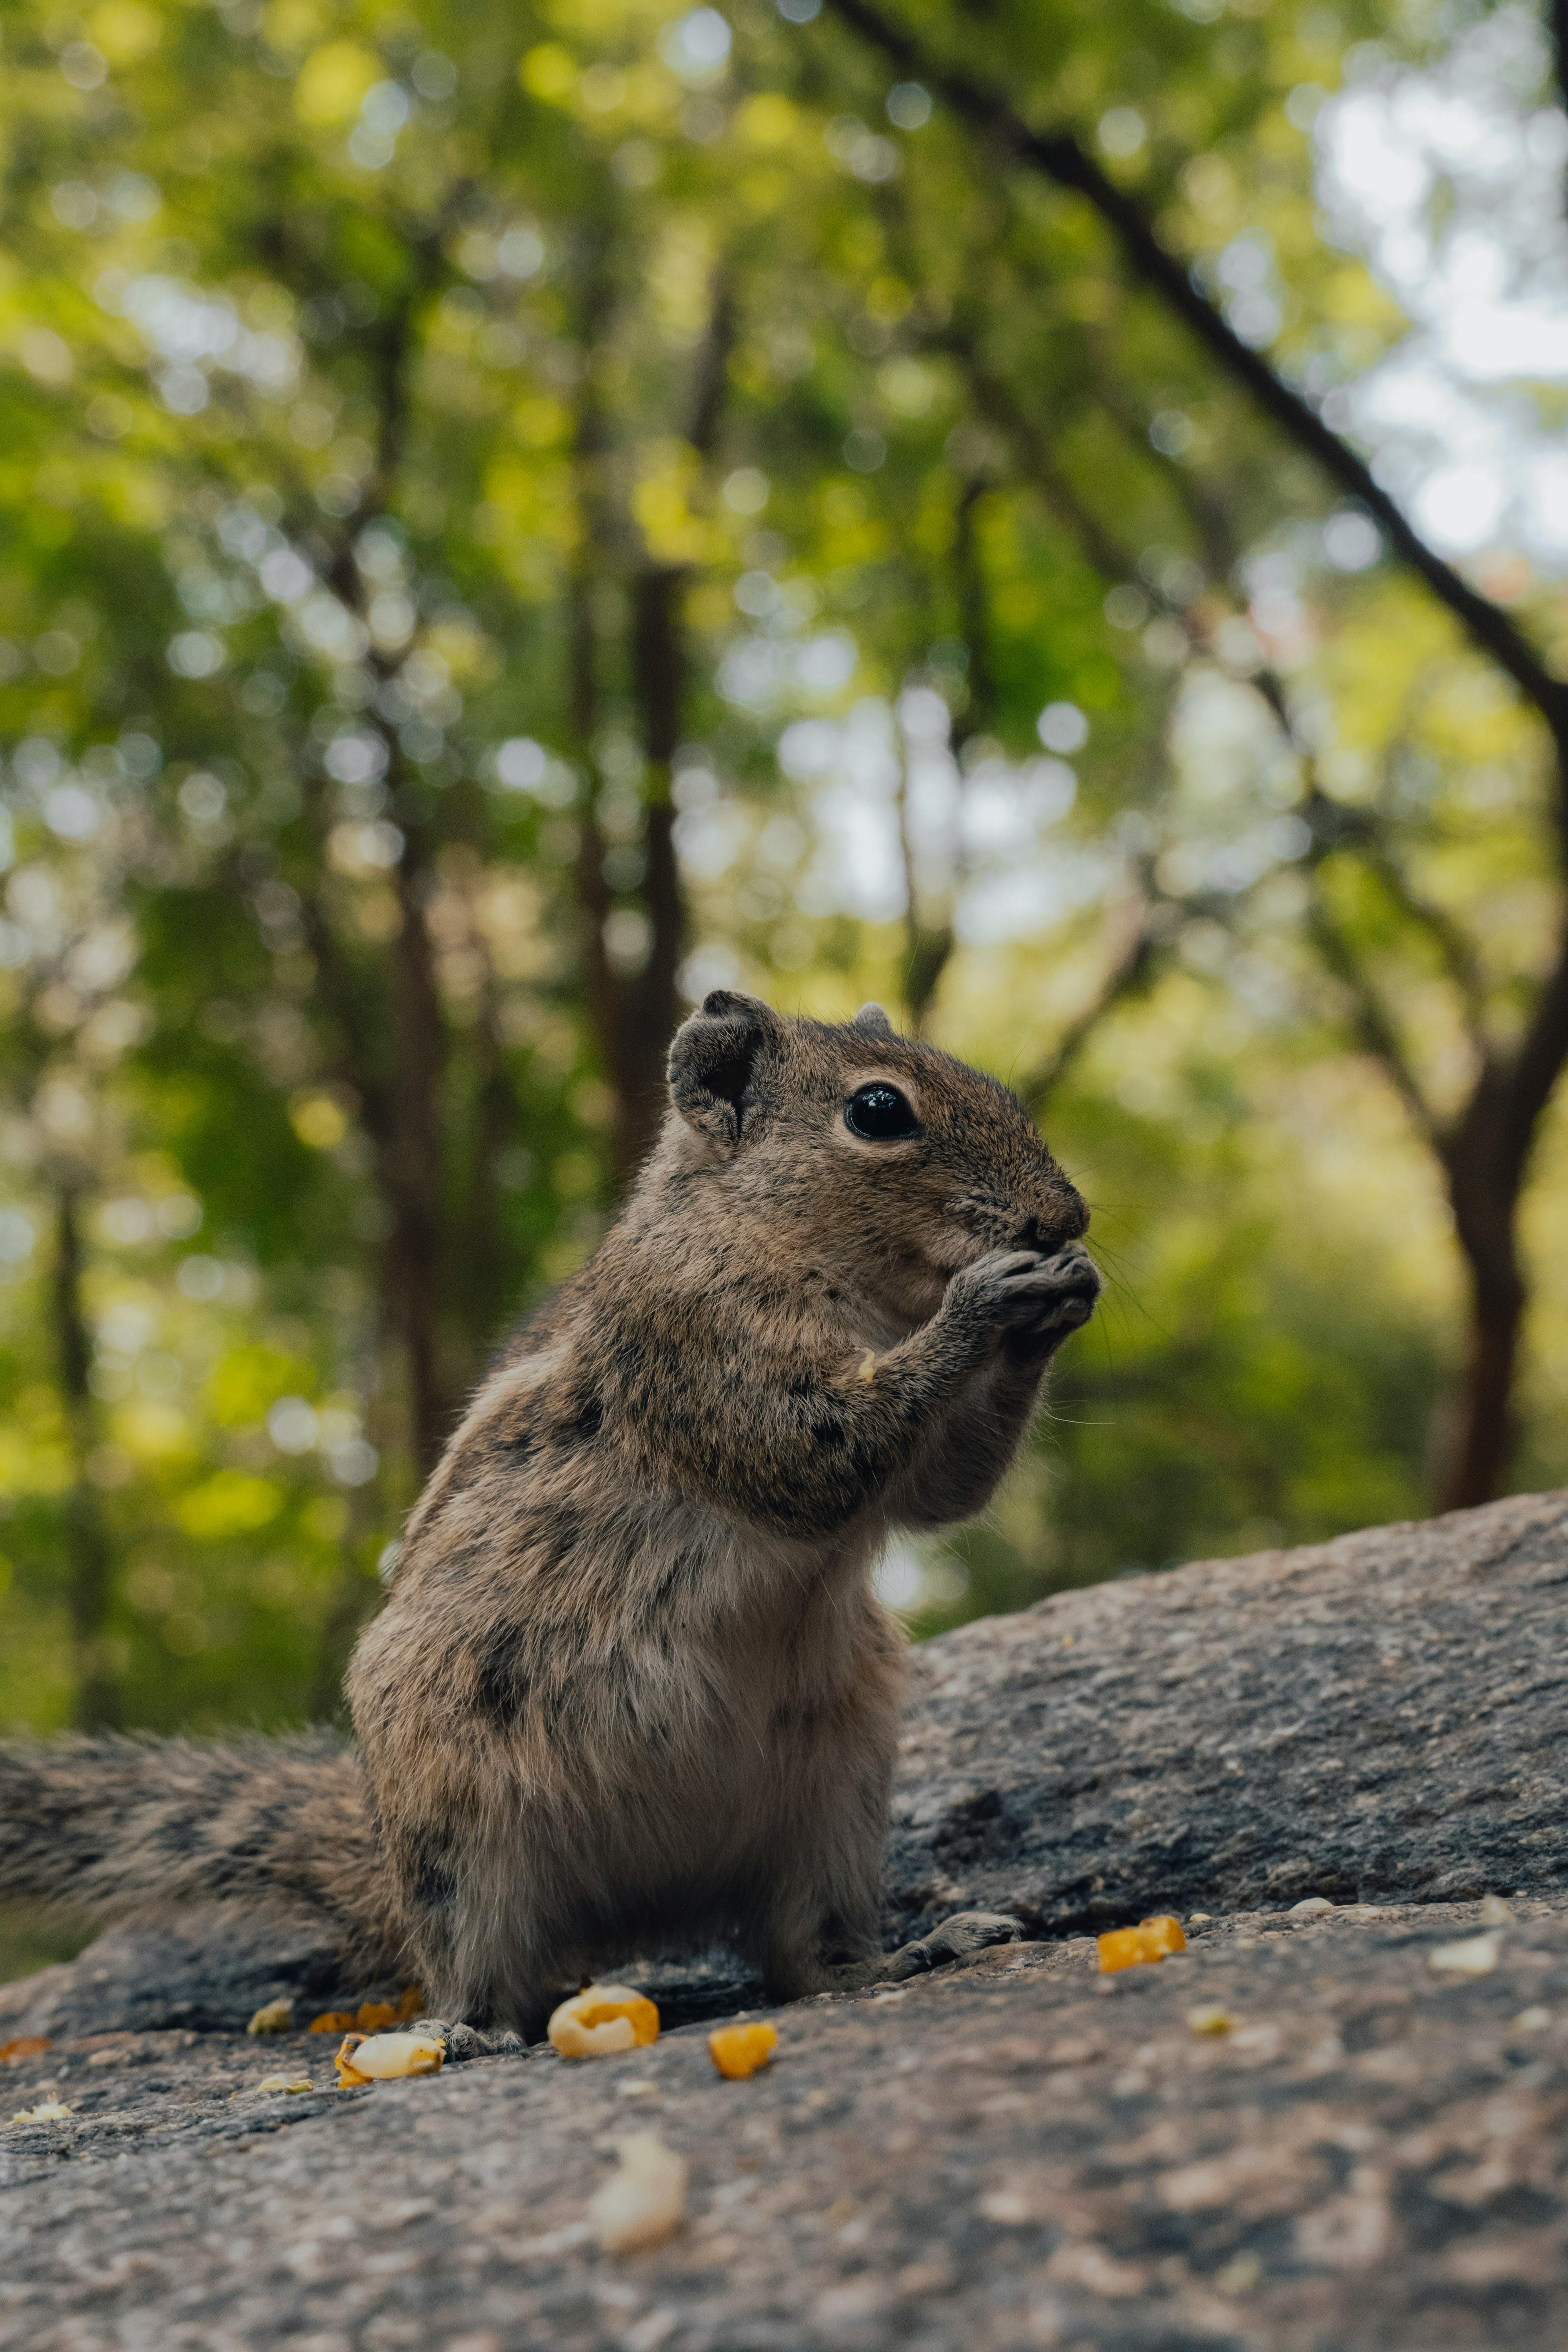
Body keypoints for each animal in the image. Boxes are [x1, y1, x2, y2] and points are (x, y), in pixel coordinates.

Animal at [0, 994, 1102, 2049]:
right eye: (877, 1110)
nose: (1066, 1215)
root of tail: (644, 1910)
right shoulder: (694, 1351)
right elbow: (815, 1456)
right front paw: (984, 1302)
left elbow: (944, 1489)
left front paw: (1060, 1299)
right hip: (464, 1844)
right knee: (491, 1968)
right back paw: (466, 2029)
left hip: (834, 1803)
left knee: (802, 1958)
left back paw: (902, 1954)